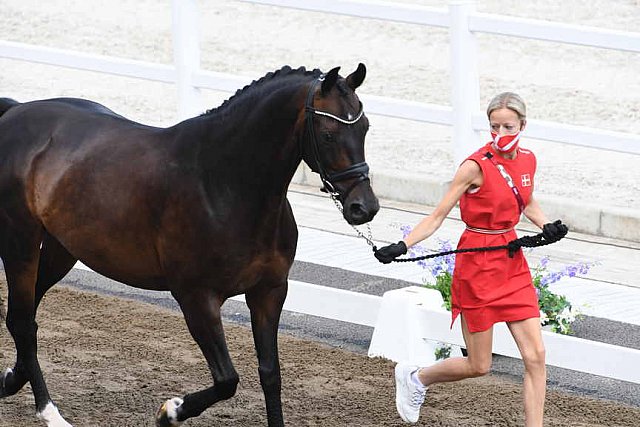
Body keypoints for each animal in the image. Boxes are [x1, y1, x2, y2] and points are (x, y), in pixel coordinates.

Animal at [0, 64, 378, 427]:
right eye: (328, 134)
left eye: (364, 128)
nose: (365, 207)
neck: (224, 184)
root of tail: (14, 113)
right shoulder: (197, 298)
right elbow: (227, 379)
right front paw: (169, 412)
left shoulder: (269, 291)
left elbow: (270, 374)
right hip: (21, 244)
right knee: (22, 321)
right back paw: (50, 412)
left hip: (61, 250)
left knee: (26, 315)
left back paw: (10, 380)